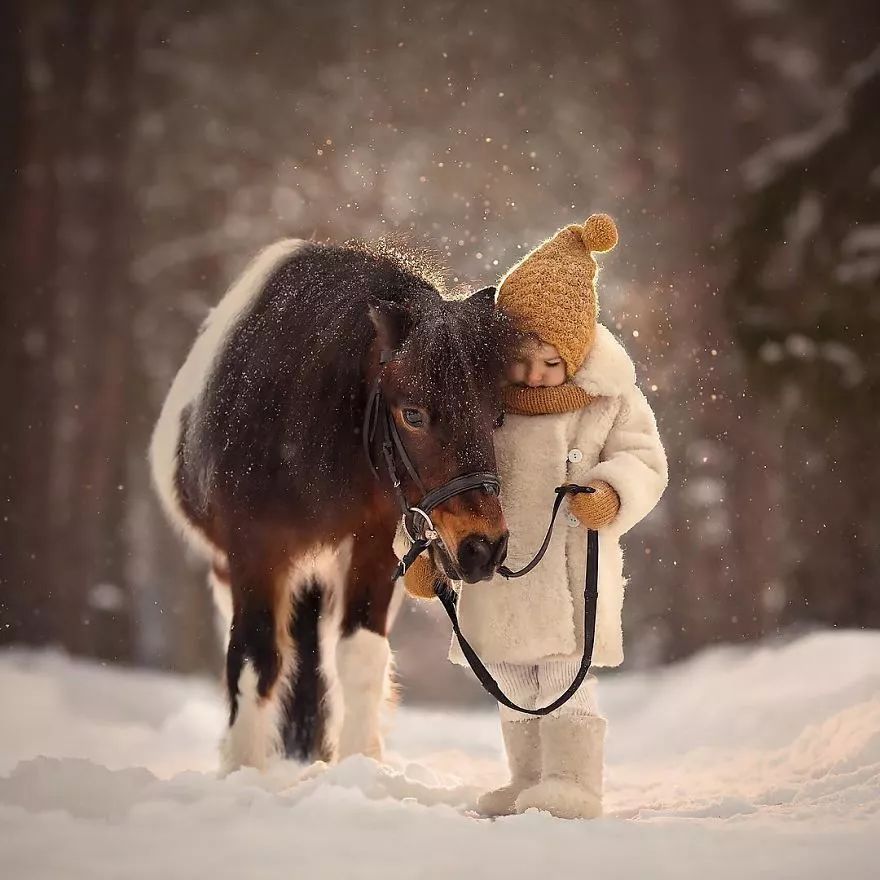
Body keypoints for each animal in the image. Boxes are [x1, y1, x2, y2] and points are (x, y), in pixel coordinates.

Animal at [148, 239, 512, 768]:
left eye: (499, 415)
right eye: (413, 414)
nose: (484, 547)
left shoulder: (374, 542)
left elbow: (360, 656)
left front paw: (359, 763)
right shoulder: (254, 551)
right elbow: (254, 660)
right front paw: (245, 768)